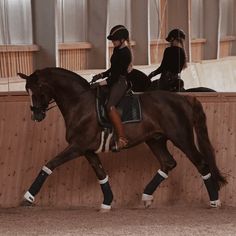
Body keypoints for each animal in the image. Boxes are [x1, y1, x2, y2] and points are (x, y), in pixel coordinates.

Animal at [17, 67, 226, 211]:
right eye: (27, 91)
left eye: (37, 90)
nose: (36, 115)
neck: (79, 102)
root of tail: (184, 99)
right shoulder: (88, 150)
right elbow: (101, 174)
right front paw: (107, 203)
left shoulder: (77, 147)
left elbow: (49, 165)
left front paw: (28, 197)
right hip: (155, 140)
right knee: (168, 163)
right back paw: (146, 196)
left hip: (181, 138)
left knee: (201, 164)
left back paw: (215, 201)